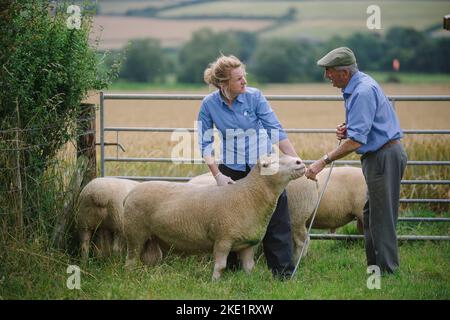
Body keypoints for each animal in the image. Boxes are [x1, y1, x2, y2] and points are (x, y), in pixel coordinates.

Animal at [123, 154, 306, 278]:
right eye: (269, 164)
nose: (300, 162)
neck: (249, 195)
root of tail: (131, 192)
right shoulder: (223, 239)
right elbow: (221, 266)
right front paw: (214, 283)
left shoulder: (248, 244)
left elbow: (249, 267)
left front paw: (248, 280)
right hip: (135, 233)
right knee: (130, 260)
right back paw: (130, 276)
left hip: (151, 238)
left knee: (147, 259)